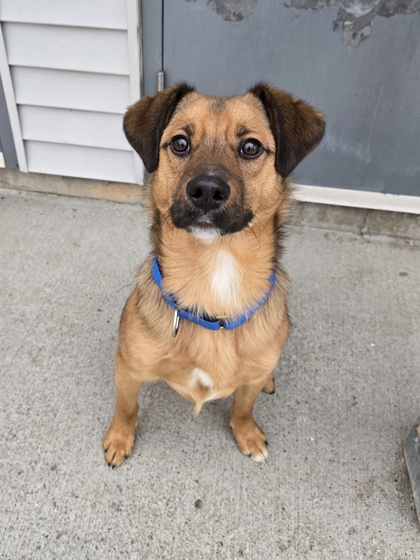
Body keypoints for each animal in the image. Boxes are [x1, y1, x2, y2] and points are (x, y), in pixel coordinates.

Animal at [103, 83, 324, 466]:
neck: (215, 272)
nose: (206, 190)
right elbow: (126, 407)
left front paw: (247, 433)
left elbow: (244, 407)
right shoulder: (128, 369)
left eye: (251, 147)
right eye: (180, 143)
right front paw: (119, 438)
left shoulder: (248, 383)